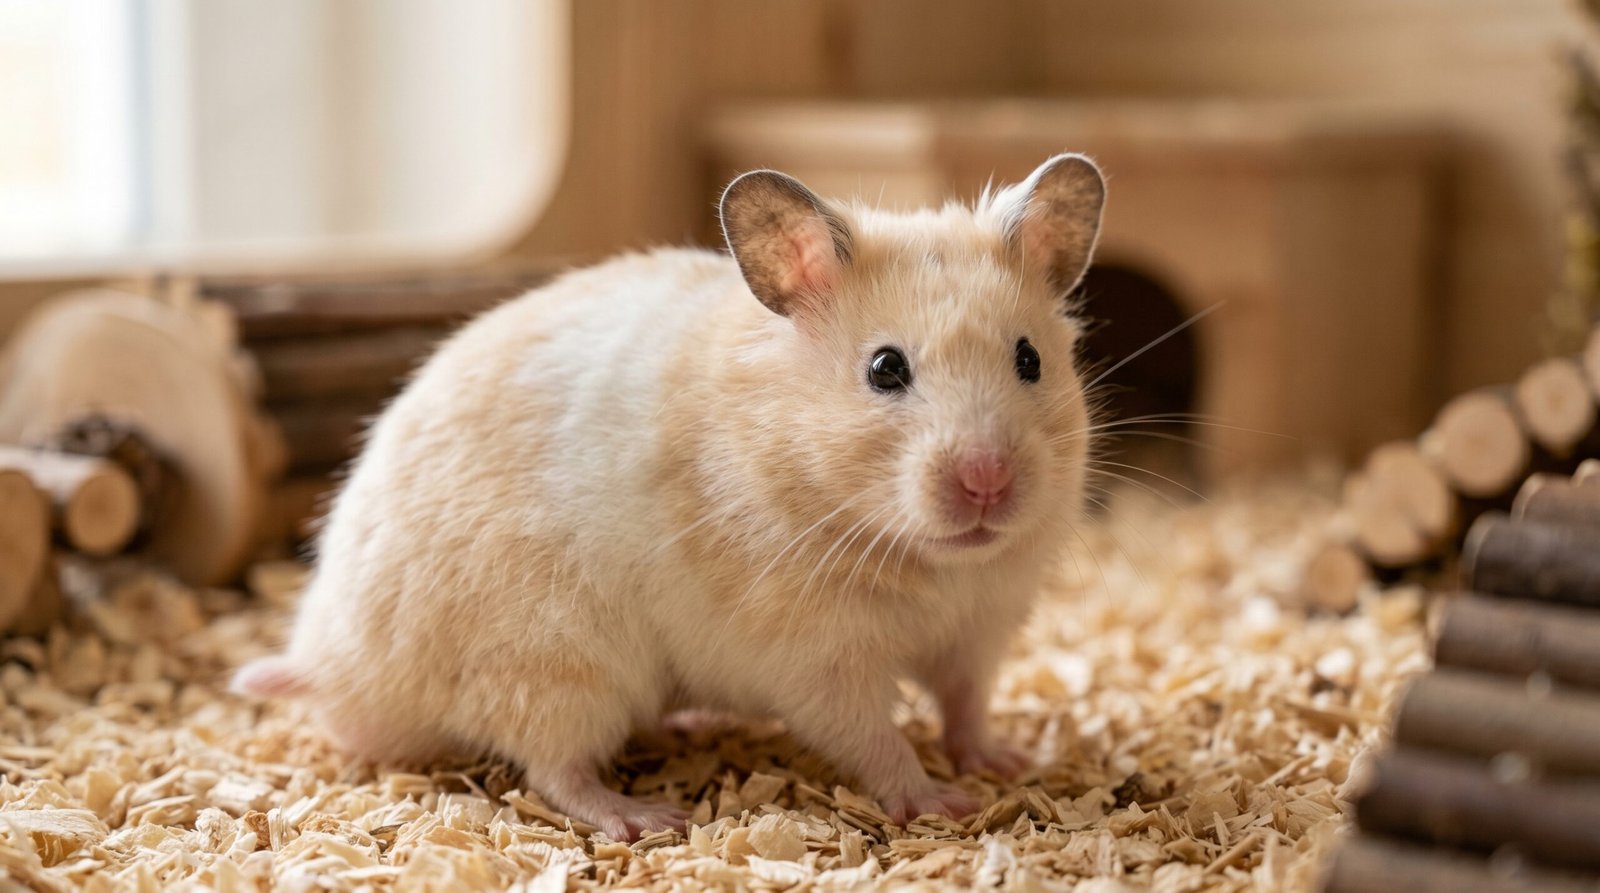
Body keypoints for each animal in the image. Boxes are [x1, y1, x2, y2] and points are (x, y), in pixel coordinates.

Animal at [233, 153, 1106, 841]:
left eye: (1029, 358)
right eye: (885, 368)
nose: (988, 481)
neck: (931, 562)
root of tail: (336, 665)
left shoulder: (980, 628)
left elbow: (965, 703)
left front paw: (1005, 760)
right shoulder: (818, 658)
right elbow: (874, 739)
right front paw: (943, 802)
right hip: (559, 662)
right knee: (552, 767)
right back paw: (645, 816)